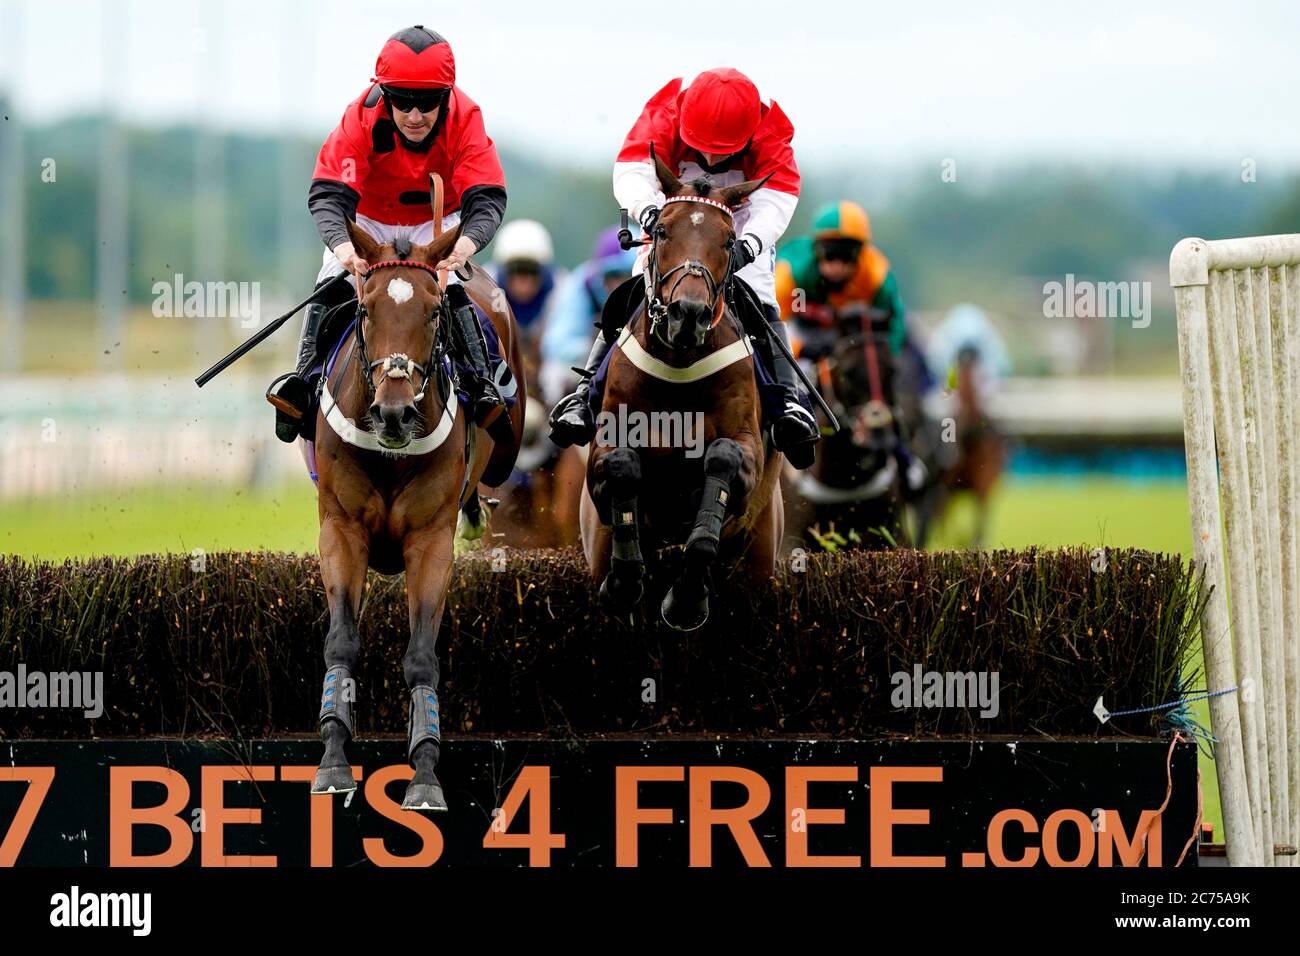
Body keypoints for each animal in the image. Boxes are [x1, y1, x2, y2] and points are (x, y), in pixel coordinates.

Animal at [306, 214, 525, 806]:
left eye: (433, 312)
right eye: (364, 309)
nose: (395, 414)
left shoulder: (430, 541)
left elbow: (422, 654)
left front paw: (425, 770)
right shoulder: (341, 530)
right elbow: (340, 642)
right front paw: (333, 760)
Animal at [579, 154, 780, 632]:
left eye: (729, 241)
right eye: (663, 230)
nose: (687, 314)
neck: (680, 364)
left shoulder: (747, 448)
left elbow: (722, 461)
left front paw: (687, 597)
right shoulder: (603, 450)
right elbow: (622, 464)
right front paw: (625, 580)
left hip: (758, 564)